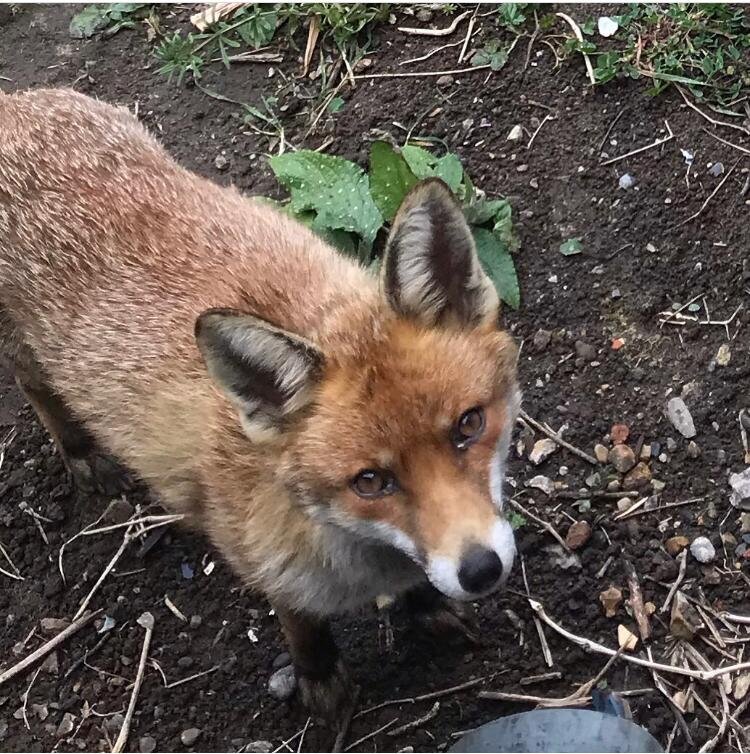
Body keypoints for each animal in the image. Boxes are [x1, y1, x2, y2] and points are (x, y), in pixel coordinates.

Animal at [1, 88, 524, 716]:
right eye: (370, 481)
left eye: (469, 425)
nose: (480, 570)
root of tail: (15, 102)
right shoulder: (264, 563)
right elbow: (302, 628)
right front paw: (321, 686)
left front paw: (429, 606)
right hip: (28, 356)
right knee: (36, 390)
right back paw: (80, 453)